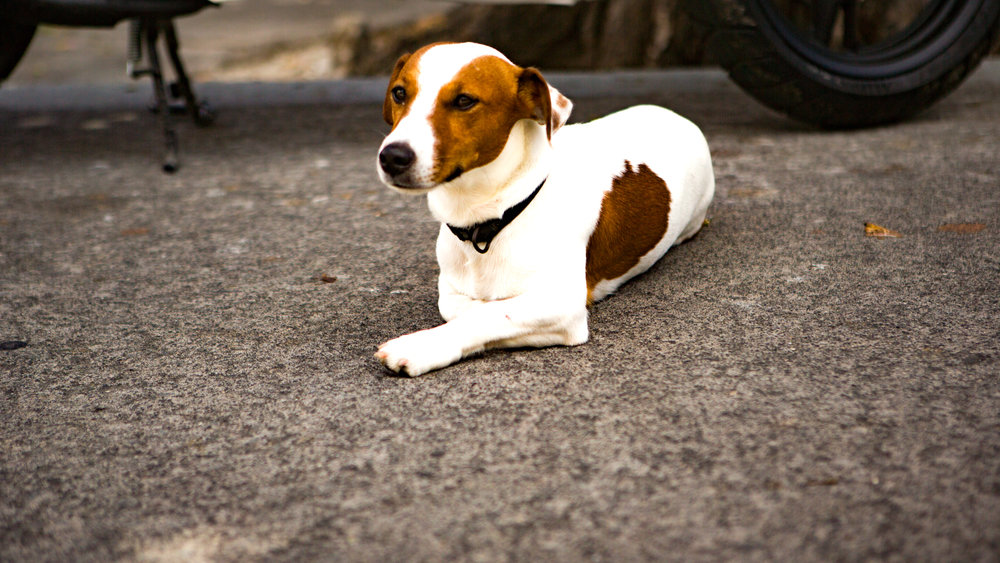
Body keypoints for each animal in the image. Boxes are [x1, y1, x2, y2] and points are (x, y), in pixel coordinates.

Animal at [374, 41, 712, 376]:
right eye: (399, 93)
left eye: (464, 100)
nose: (392, 156)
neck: (490, 218)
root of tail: (675, 116)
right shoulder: (453, 288)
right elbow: (465, 308)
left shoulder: (562, 304)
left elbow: (488, 314)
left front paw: (421, 345)